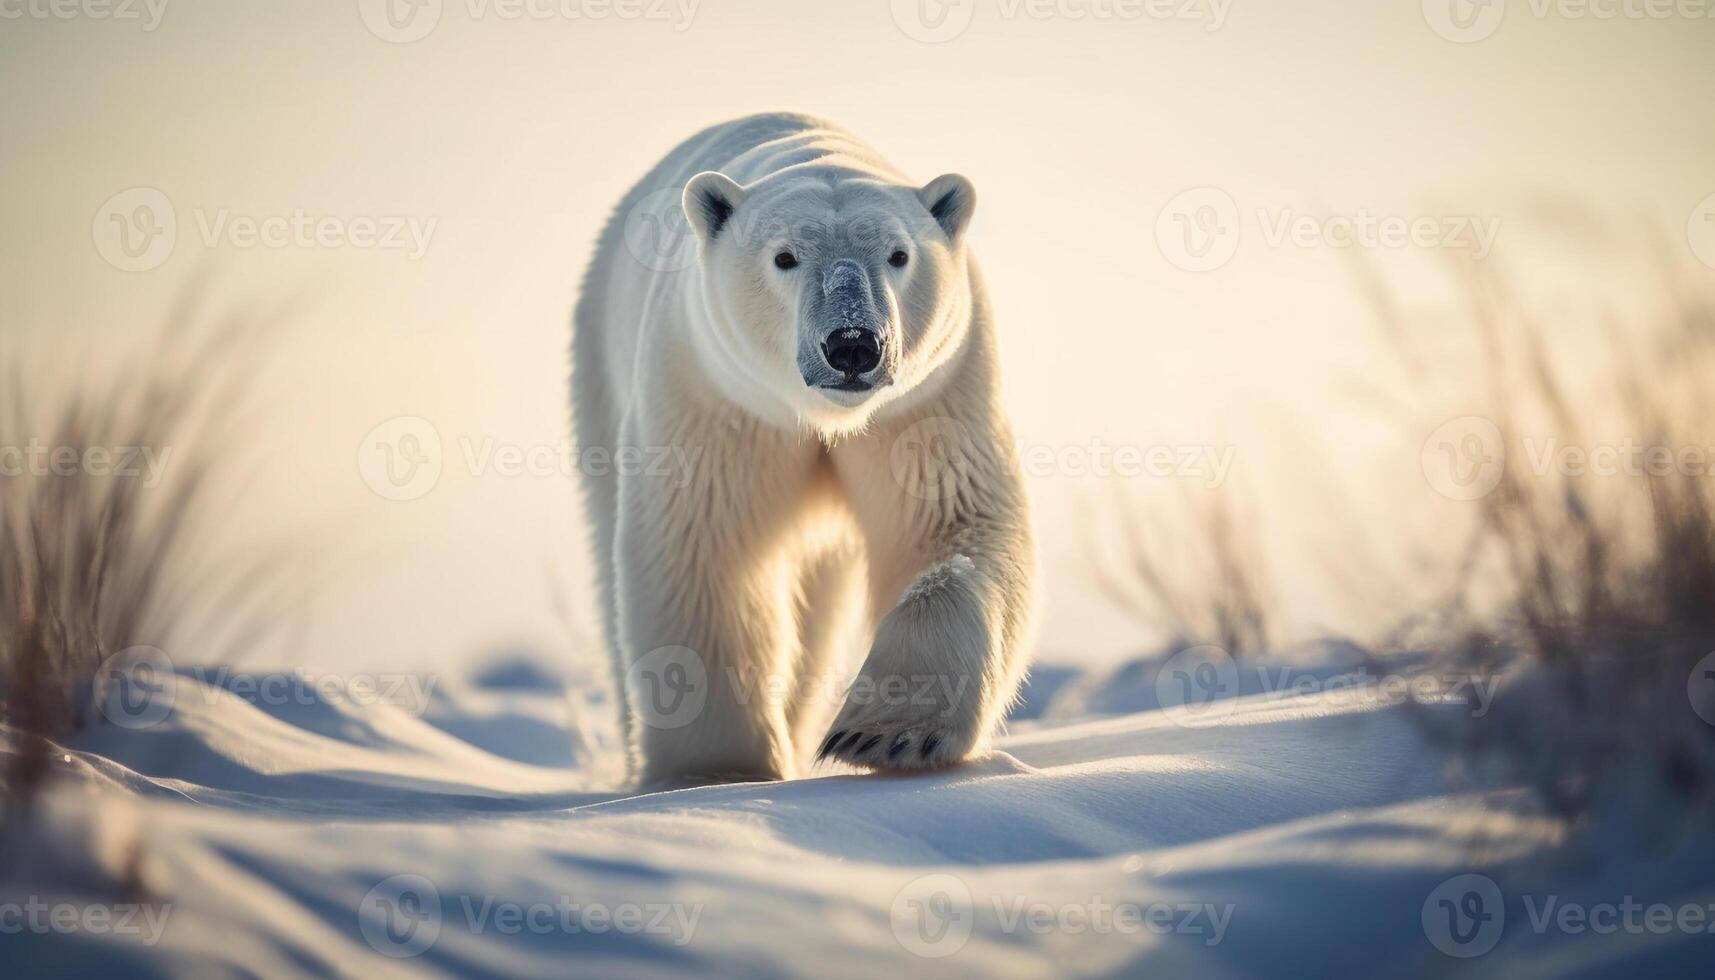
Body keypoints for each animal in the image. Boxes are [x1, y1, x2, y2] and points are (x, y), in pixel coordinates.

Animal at [572, 113, 1029, 789]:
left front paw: (886, 733)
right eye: (784, 256)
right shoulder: (717, 395)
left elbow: (952, 525)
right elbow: (708, 553)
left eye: (898, 254)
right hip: (601, 369)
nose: (853, 344)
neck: (824, 420)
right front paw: (718, 770)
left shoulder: (930, 396)